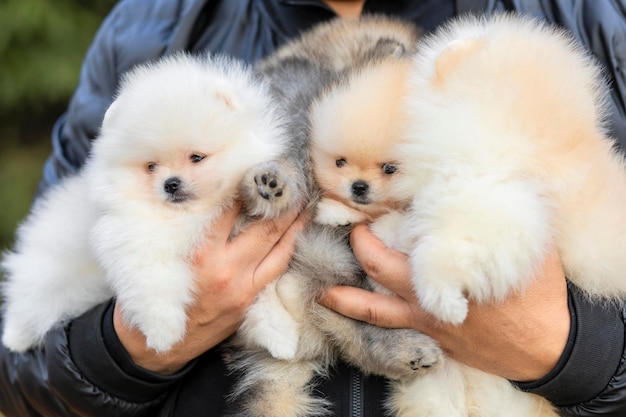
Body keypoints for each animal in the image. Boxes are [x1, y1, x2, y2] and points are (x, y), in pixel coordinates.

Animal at [0, 52, 294, 352]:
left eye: (197, 157)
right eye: (151, 166)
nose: (171, 184)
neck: (191, 215)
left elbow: (267, 288)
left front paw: (279, 333)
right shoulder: (134, 243)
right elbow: (156, 284)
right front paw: (163, 332)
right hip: (49, 274)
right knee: (30, 301)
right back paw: (15, 337)